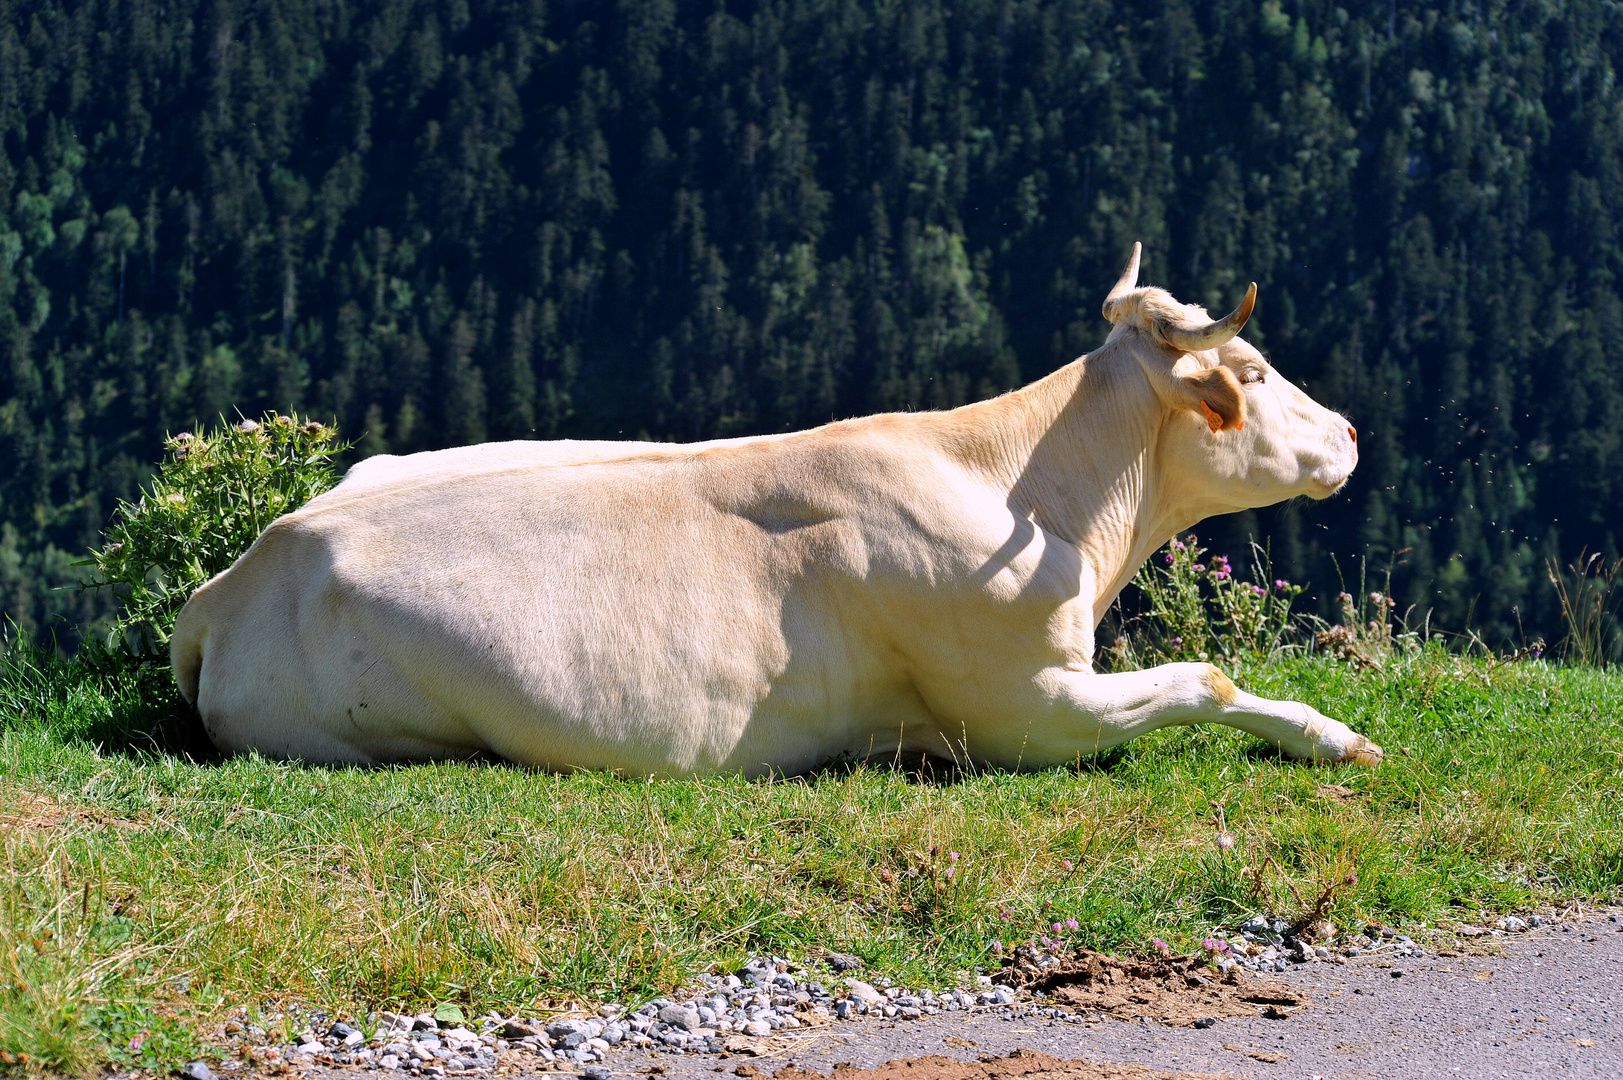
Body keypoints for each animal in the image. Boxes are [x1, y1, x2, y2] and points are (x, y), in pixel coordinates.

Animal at [167, 241, 1382, 776]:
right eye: (1255, 371)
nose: (1353, 434)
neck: (1045, 506)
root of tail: (238, 575)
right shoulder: (1024, 708)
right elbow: (1207, 678)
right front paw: (1334, 736)